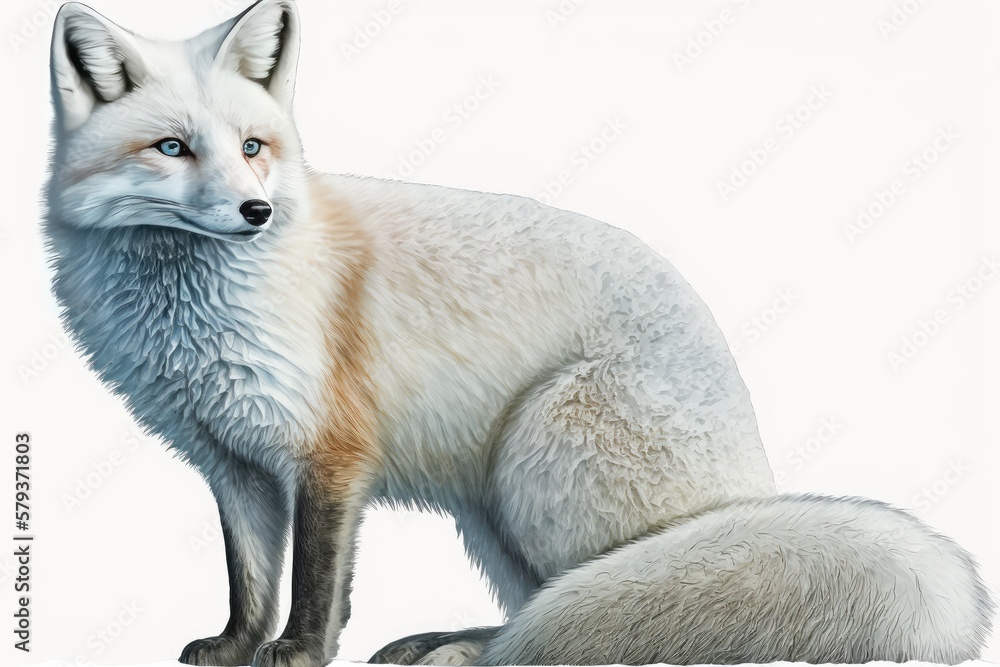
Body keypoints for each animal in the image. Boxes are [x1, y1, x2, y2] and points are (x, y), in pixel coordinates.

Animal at [44, 1, 993, 666]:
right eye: (171, 148)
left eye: (253, 147)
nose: (256, 212)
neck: (191, 311)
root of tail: (749, 480)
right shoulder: (233, 461)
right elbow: (250, 579)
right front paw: (238, 647)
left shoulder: (332, 453)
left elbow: (314, 583)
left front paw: (302, 653)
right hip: (492, 515)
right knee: (545, 616)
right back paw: (450, 643)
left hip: (535, 466)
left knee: (588, 626)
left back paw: (461, 650)